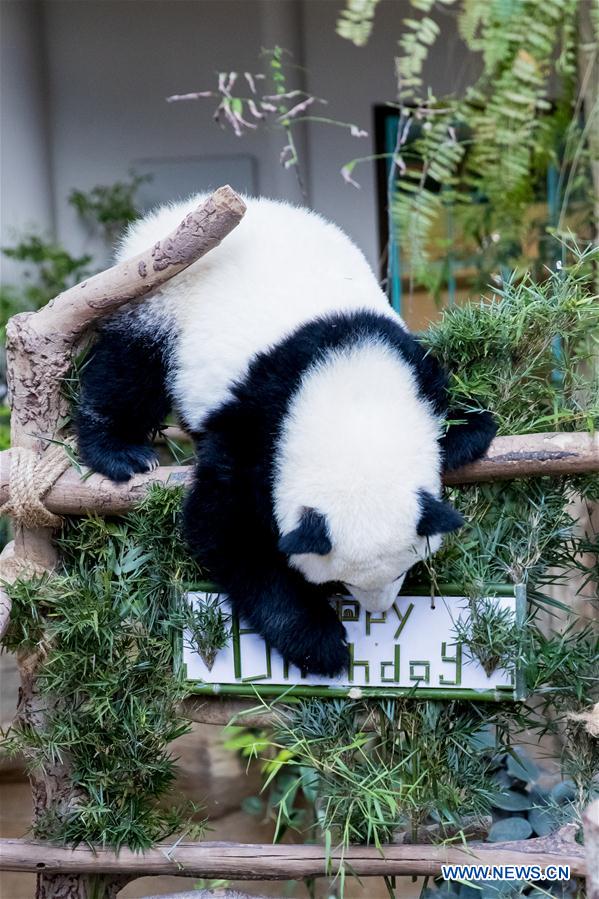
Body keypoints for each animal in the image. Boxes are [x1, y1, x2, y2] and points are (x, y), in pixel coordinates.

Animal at [76, 195, 496, 676]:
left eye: (401, 569)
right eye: (340, 580)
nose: (377, 610)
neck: (352, 401)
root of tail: (172, 213)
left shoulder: (393, 347)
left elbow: (439, 390)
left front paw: (468, 430)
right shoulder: (256, 419)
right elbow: (224, 530)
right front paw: (320, 642)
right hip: (156, 299)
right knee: (126, 373)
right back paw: (120, 452)